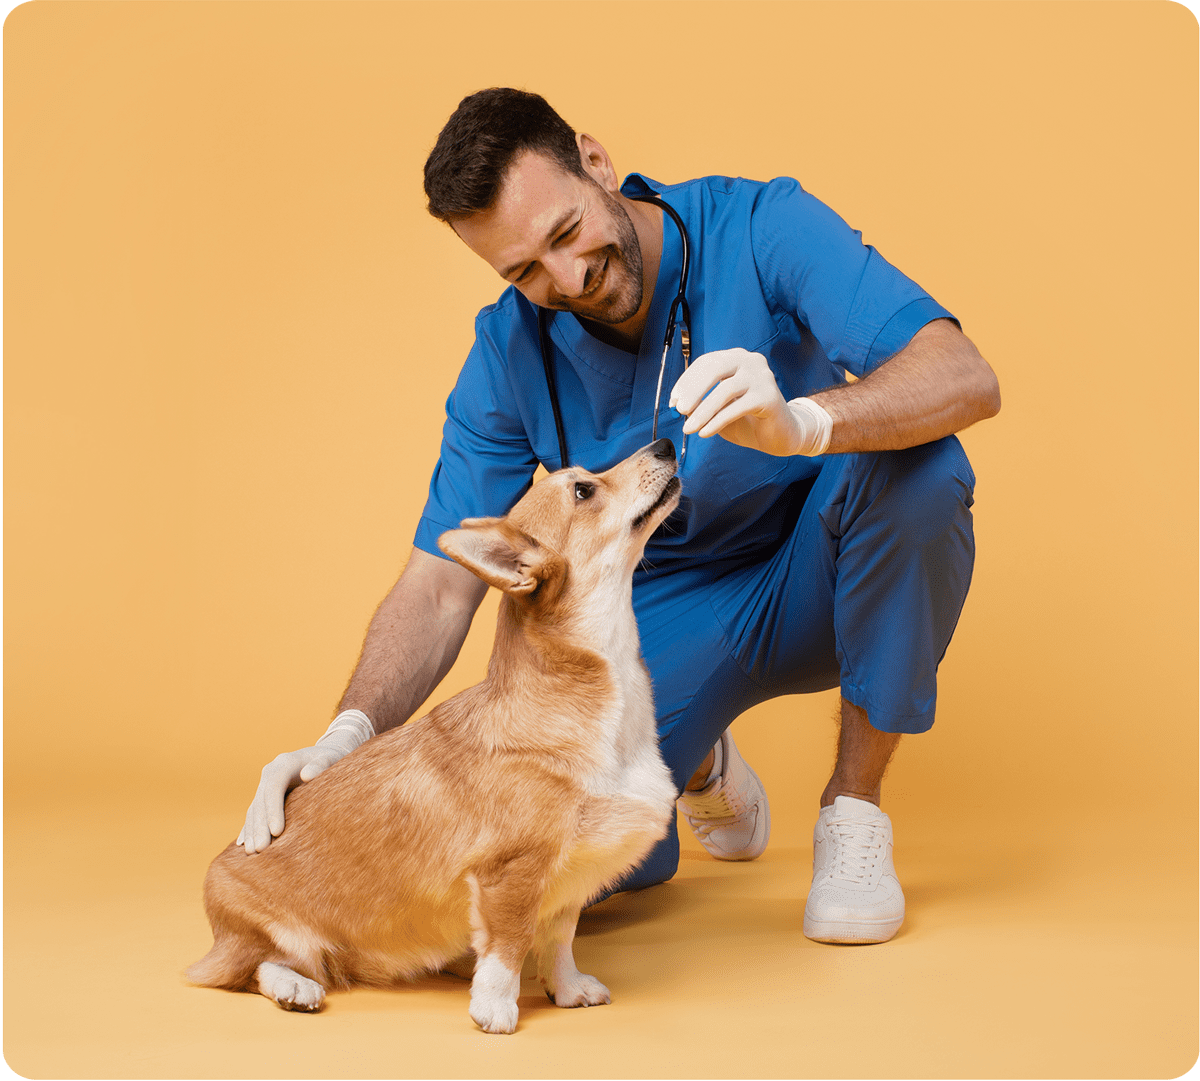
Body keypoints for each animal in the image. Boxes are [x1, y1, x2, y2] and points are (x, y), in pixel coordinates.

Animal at [182, 436, 681, 1027]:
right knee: (256, 967)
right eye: (583, 489)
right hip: (269, 934)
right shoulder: (511, 873)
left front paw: (567, 988)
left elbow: (559, 942)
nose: (666, 442)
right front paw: (495, 1008)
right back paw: (293, 988)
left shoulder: (566, 881)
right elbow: (509, 946)